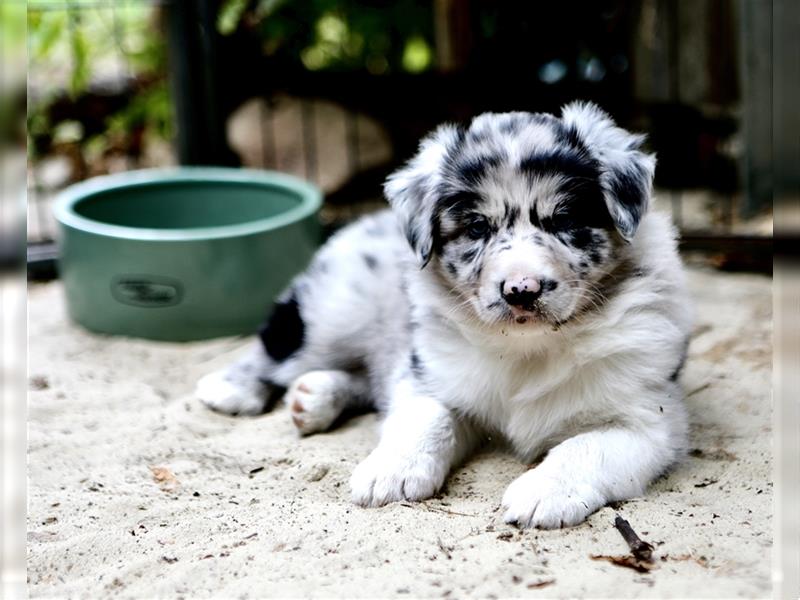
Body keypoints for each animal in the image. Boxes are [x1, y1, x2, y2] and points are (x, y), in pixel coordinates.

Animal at [197, 103, 692, 528]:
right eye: (476, 228)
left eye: (564, 221)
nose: (521, 291)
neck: (529, 349)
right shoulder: (431, 375)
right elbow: (424, 417)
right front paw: (392, 470)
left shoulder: (648, 419)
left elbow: (586, 445)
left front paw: (544, 492)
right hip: (334, 312)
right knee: (281, 348)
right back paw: (235, 388)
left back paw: (314, 397)